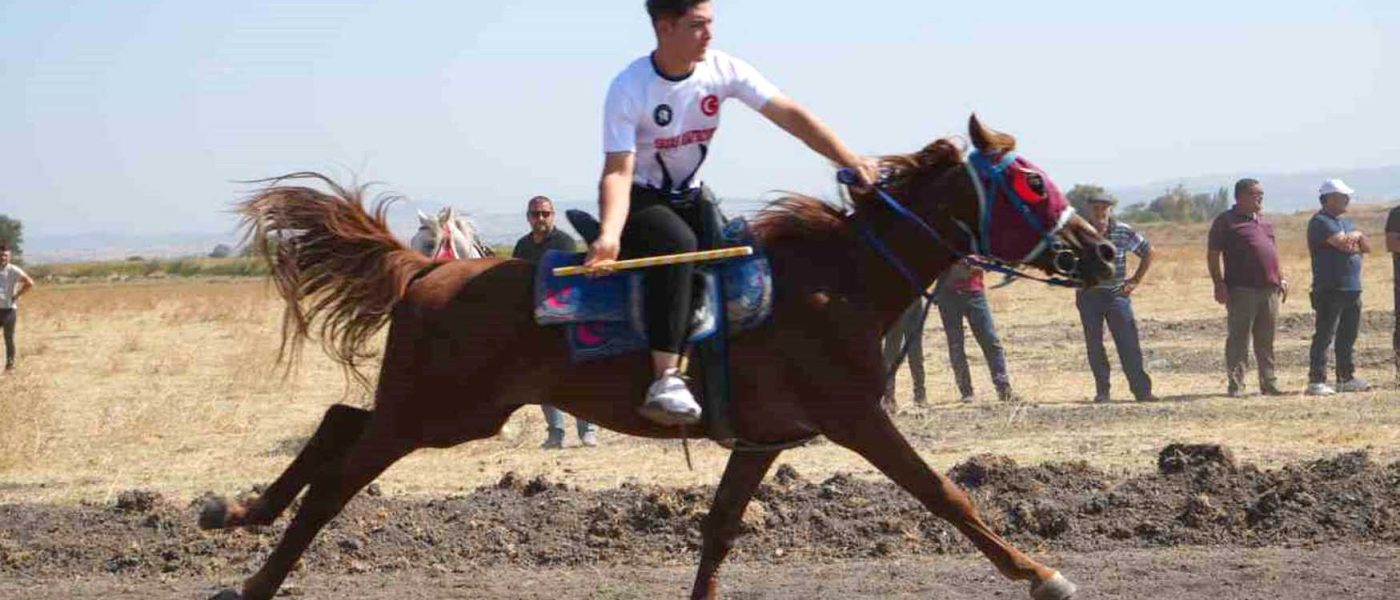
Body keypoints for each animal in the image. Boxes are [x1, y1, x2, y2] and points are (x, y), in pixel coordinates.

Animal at [200, 116, 1114, 598]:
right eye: (1032, 183)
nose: (1103, 253)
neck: (838, 279)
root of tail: (430, 269)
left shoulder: (761, 439)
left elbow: (719, 528)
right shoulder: (857, 418)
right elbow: (945, 494)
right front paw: (1040, 572)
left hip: (450, 411)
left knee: (336, 420)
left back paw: (237, 512)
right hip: (435, 414)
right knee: (337, 476)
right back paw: (256, 572)